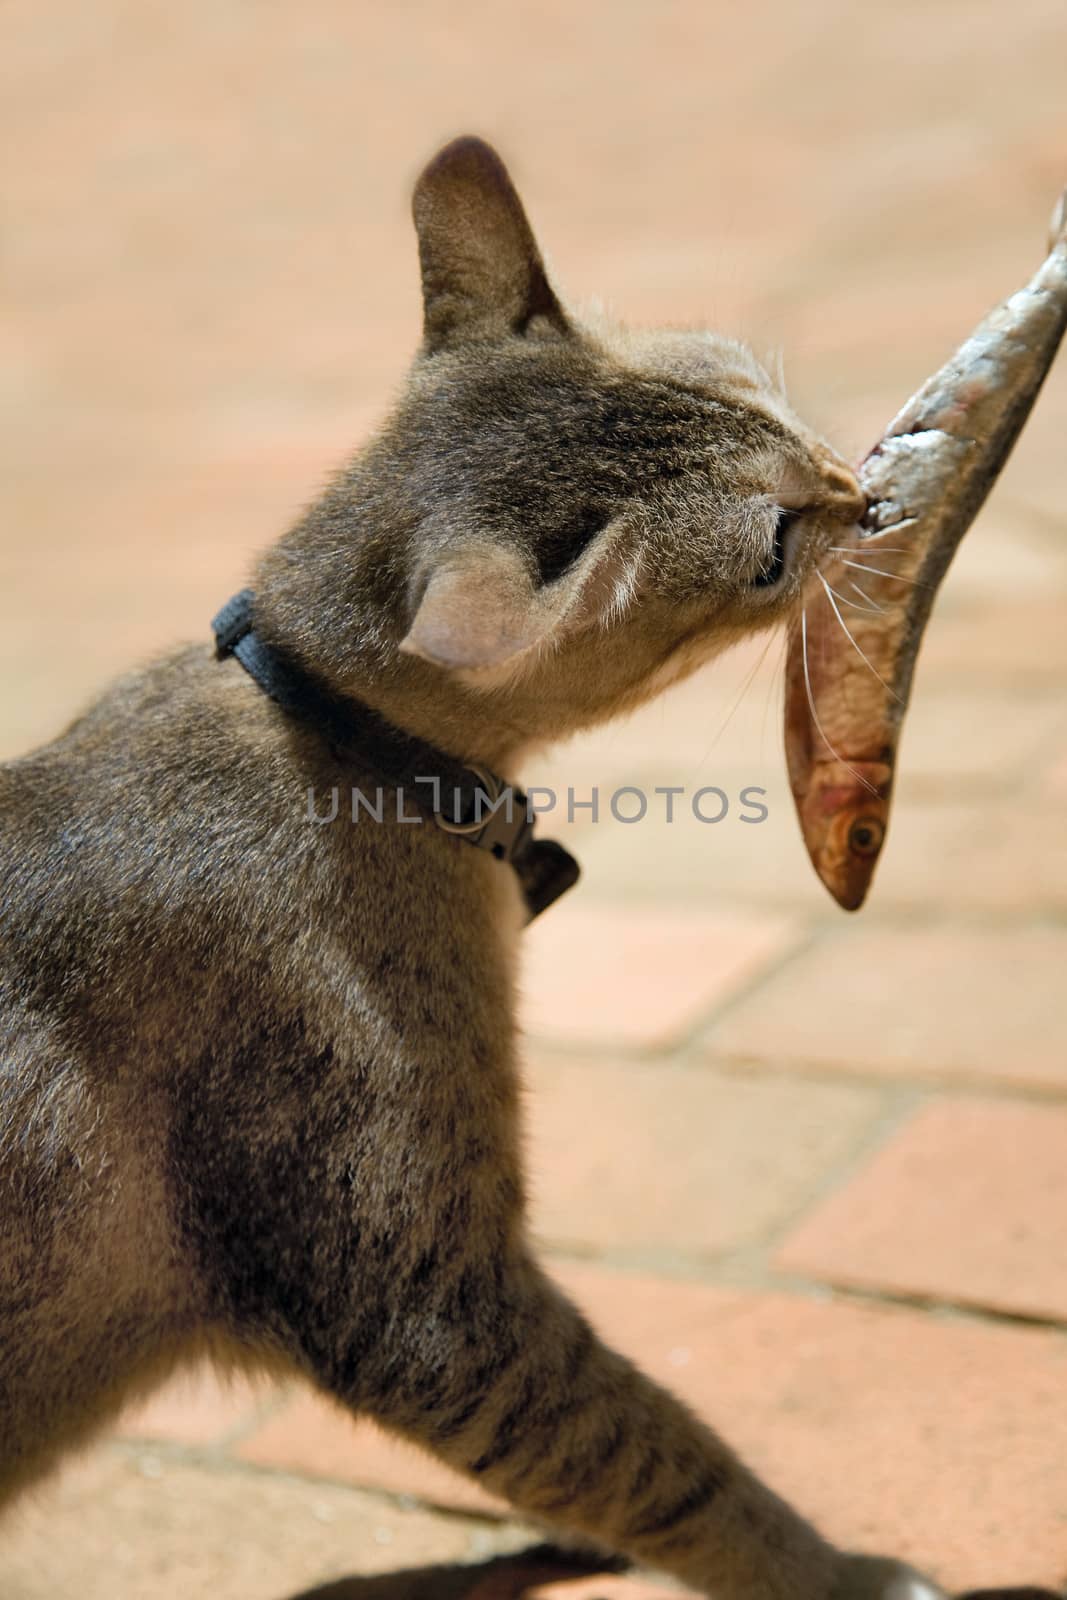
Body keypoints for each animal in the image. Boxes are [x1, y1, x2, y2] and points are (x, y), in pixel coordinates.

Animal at [4, 137, 940, 1600]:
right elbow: (657, 1457)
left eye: (762, 395)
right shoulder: (422, 1298)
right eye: (772, 548)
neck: (331, 731)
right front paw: (834, 1572)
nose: (864, 492)